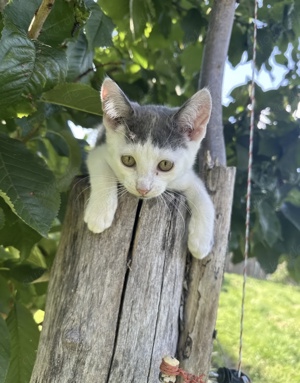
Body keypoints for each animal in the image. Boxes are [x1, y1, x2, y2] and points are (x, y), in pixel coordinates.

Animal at [84, 77, 214, 258]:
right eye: (128, 160)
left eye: (165, 165)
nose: (143, 189)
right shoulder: (99, 151)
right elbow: (102, 170)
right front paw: (99, 213)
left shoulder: (184, 176)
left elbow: (203, 195)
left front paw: (201, 243)